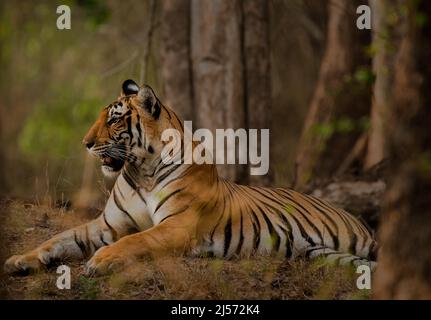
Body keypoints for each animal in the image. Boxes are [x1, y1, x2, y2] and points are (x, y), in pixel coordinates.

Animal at [5, 79, 378, 276]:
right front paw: (20, 260)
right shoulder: (106, 225)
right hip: (326, 255)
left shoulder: (178, 225)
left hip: (362, 243)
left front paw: (101, 260)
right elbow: (59, 238)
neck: (142, 170)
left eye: (114, 119)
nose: (85, 143)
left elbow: (135, 241)